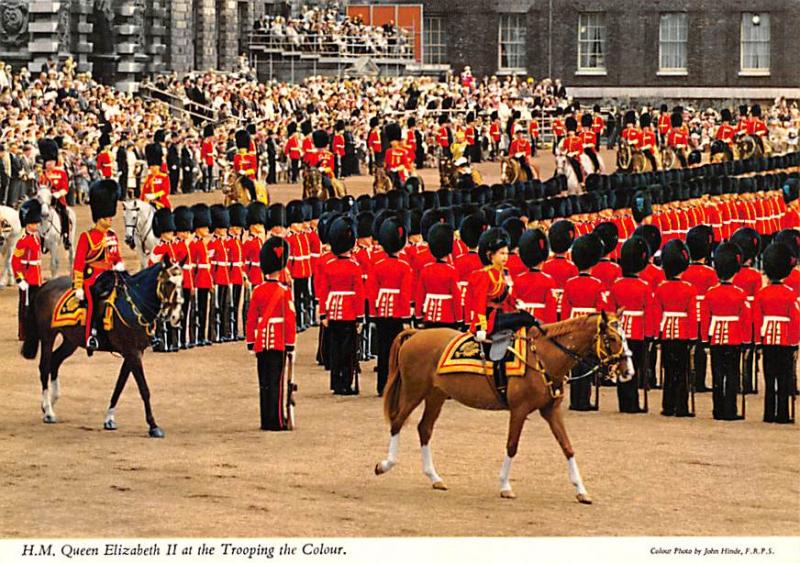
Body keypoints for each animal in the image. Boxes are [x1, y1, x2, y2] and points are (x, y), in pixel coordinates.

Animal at [22, 262, 186, 438]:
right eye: (169, 282)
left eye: (182, 282)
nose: (177, 316)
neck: (135, 303)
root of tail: (45, 285)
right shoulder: (132, 352)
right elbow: (144, 389)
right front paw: (153, 425)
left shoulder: (133, 353)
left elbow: (119, 385)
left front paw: (109, 419)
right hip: (48, 336)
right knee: (44, 367)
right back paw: (49, 412)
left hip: (71, 340)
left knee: (55, 361)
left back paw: (49, 403)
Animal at [374, 312, 632, 502]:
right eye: (612, 338)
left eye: (624, 335)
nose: (628, 372)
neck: (543, 357)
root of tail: (416, 333)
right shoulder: (519, 410)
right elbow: (512, 446)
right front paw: (505, 485)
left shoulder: (550, 411)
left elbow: (567, 447)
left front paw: (581, 491)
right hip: (414, 391)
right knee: (398, 422)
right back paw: (385, 465)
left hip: (436, 395)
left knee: (424, 429)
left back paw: (434, 477)